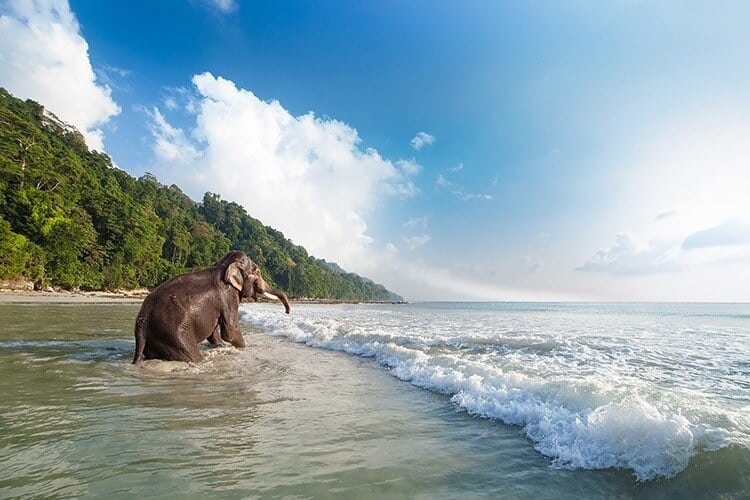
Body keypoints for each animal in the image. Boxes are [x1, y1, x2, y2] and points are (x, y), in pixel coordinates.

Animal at [133, 250, 290, 364]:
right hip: (174, 335)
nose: (287, 312)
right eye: (257, 272)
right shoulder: (228, 297)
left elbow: (215, 331)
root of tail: (143, 321)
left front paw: (221, 346)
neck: (224, 265)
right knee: (192, 356)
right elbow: (230, 331)